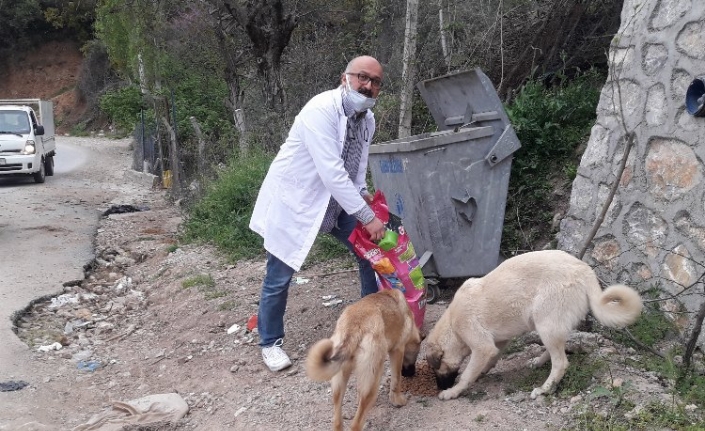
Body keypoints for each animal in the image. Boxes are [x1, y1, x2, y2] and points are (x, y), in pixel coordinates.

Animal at [306, 288, 418, 431]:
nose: (411, 373)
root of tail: (353, 326)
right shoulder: (397, 351)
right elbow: (396, 380)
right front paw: (397, 400)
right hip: (372, 382)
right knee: (355, 424)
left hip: (340, 382)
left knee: (337, 421)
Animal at [424, 250, 644, 402]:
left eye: (437, 369)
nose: (439, 388)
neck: (452, 325)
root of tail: (583, 268)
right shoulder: (498, 343)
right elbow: (489, 360)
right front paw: (482, 372)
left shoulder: (482, 346)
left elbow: (468, 373)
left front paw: (453, 392)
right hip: (549, 326)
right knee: (557, 351)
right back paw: (538, 362)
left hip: (545, 324)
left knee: (561, 362)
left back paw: (544, 389)